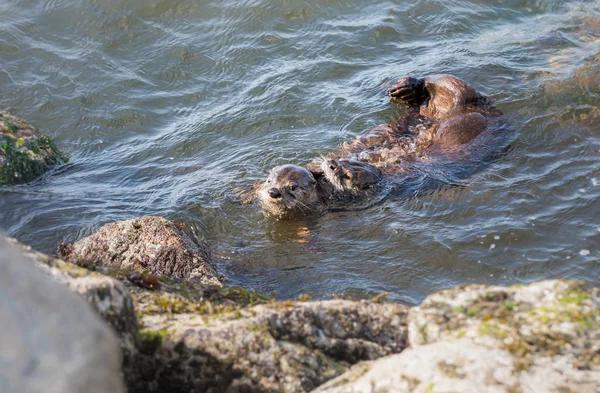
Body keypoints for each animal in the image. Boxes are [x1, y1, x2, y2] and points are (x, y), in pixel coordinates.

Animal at [255, 73, 508, 217]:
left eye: (293, 188)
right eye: (270, 181)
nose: (332, 164)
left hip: (461, 113)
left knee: (452, 84)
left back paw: (411, 87)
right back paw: (407, 89)